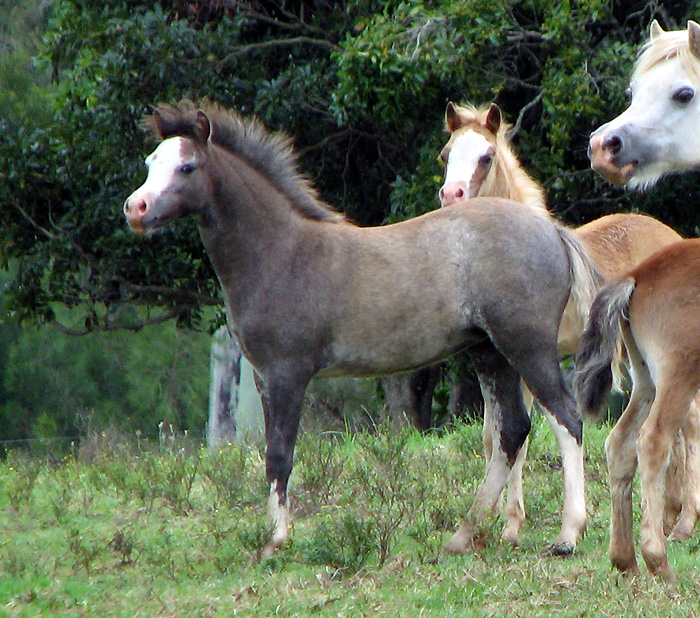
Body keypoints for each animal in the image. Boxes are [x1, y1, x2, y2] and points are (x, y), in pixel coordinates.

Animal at [124, 100, 602, 556]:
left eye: (187, 167)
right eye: (150, 161)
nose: (135, 208)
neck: (282, 252)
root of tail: (553, 232)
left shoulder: (287, 374)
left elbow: (280, 454)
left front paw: (276, 542)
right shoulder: (262, 377)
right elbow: (272, 455)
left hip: (526, 346)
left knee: (566, 418)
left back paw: (568, 535)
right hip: (489, 352)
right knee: (512, 432)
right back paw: (462, 536)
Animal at [575, 239, 700, 580]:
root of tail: (637, 276)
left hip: (645, 380)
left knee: (620, 443)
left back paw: (625, 560)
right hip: (678, 373)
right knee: (653, 440)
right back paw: (658, 561)